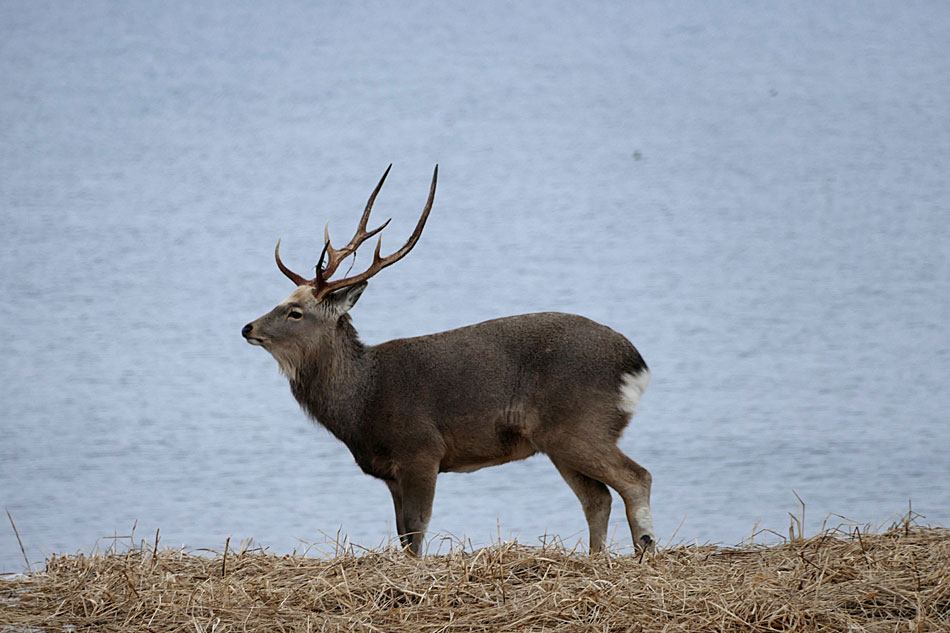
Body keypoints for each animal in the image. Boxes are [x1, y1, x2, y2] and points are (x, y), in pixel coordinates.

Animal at [242, 165, 660, 556]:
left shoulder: (421, 449)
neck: (362, 401)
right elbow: (402, 533)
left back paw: (645, 549)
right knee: (597, 498)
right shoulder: (390, 472)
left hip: (581, 423)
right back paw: (597, 558)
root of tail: (636, 364)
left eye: (295, 312)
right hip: (557, 439)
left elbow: (416, 530)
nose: (248, 327)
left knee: (636, 478)